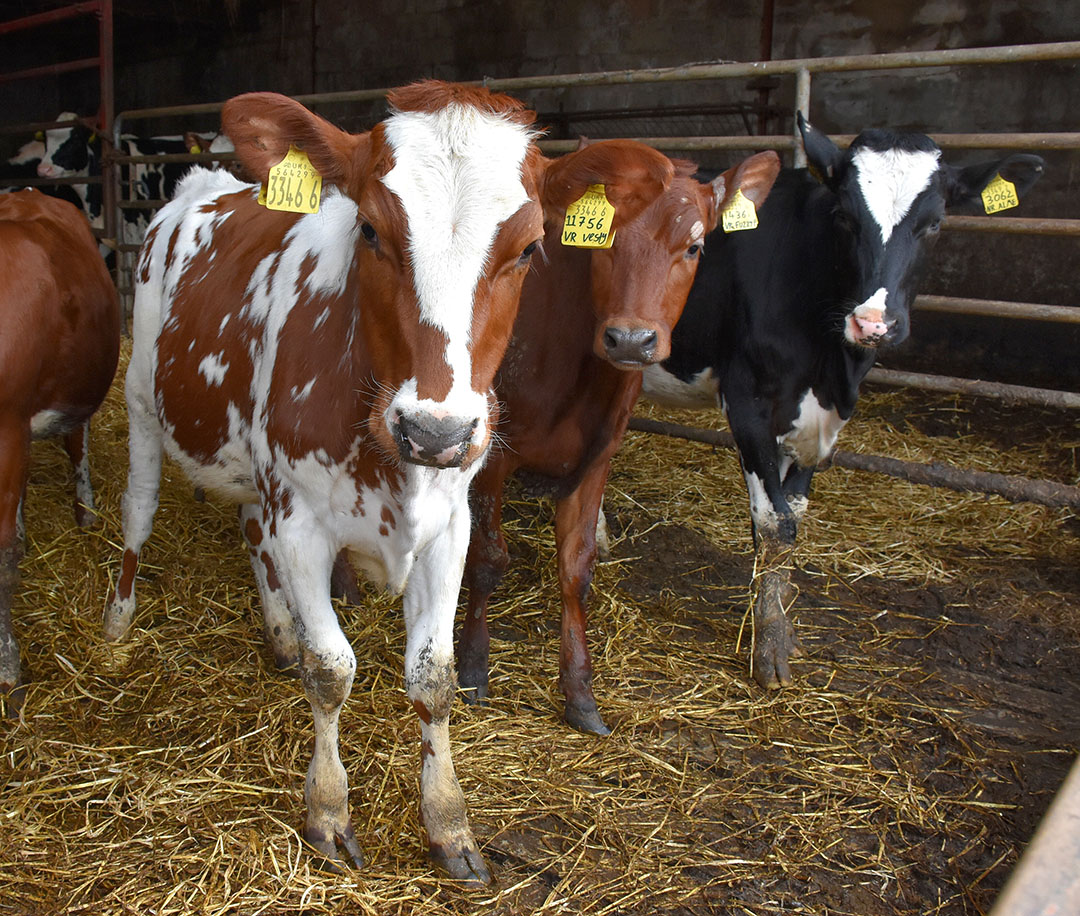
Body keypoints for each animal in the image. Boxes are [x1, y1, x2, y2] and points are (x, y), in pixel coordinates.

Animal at [107, 84, 665, 881]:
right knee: (137, 515)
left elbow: (433, 678)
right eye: (369, 229)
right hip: (141, 408)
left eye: (529, 247)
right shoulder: (303, 523)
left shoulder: (451, 525)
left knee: (249, 529)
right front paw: (328, 811)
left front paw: (449, 822)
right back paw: (117, 625)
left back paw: (277, 631)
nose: (434, 431)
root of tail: (204, 183)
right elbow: (332, 669)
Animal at [639, 112, 1045, 687]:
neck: (832, 367)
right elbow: (775, 524)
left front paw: (779, 625)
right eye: (845, 217)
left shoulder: (819, 422)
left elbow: (792, 514)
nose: (872, 323)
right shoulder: (747, 400)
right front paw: (770, 655)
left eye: (935, 223)